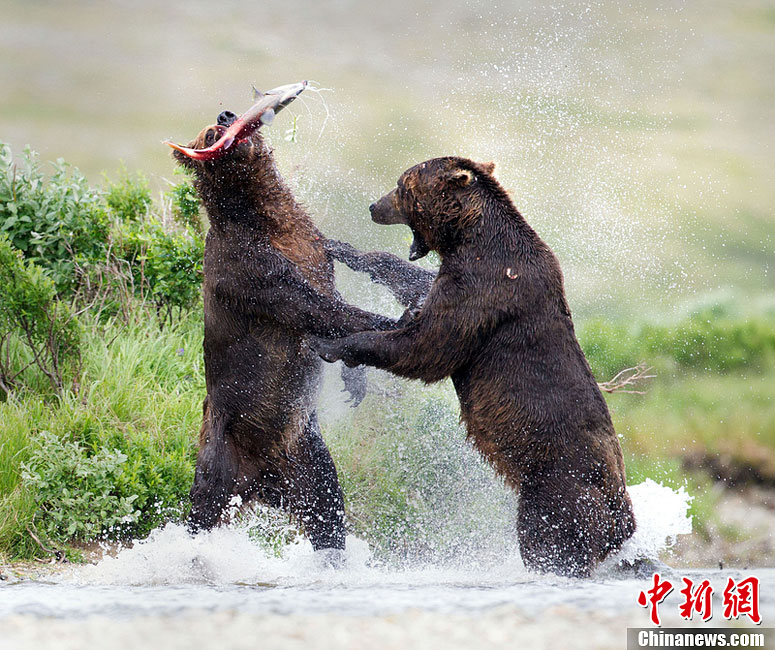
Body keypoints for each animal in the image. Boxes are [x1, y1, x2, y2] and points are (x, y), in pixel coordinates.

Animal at [170, 106, 396, 552]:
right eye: (209, 134)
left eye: (224, 118)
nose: (225, 115)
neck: (266, 217)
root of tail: (261, 483)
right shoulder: (250, 271)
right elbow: (313, 307)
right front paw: (394, 321)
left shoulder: (314, 246)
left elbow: (329, 297)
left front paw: (356, 377)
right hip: (222, 443)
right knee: (204, 504)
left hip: (306, 455)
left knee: (328, 512)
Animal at [312, 156, 636, 577]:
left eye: (401, 186)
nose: (373, 207)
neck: (470, 239)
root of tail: (623, 524)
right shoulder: (455, 277)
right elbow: (416, 287)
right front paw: (346, 249)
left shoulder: (486, 289)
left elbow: (427, 346)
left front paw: (331, 345)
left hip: (558, 490)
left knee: (547, 542)